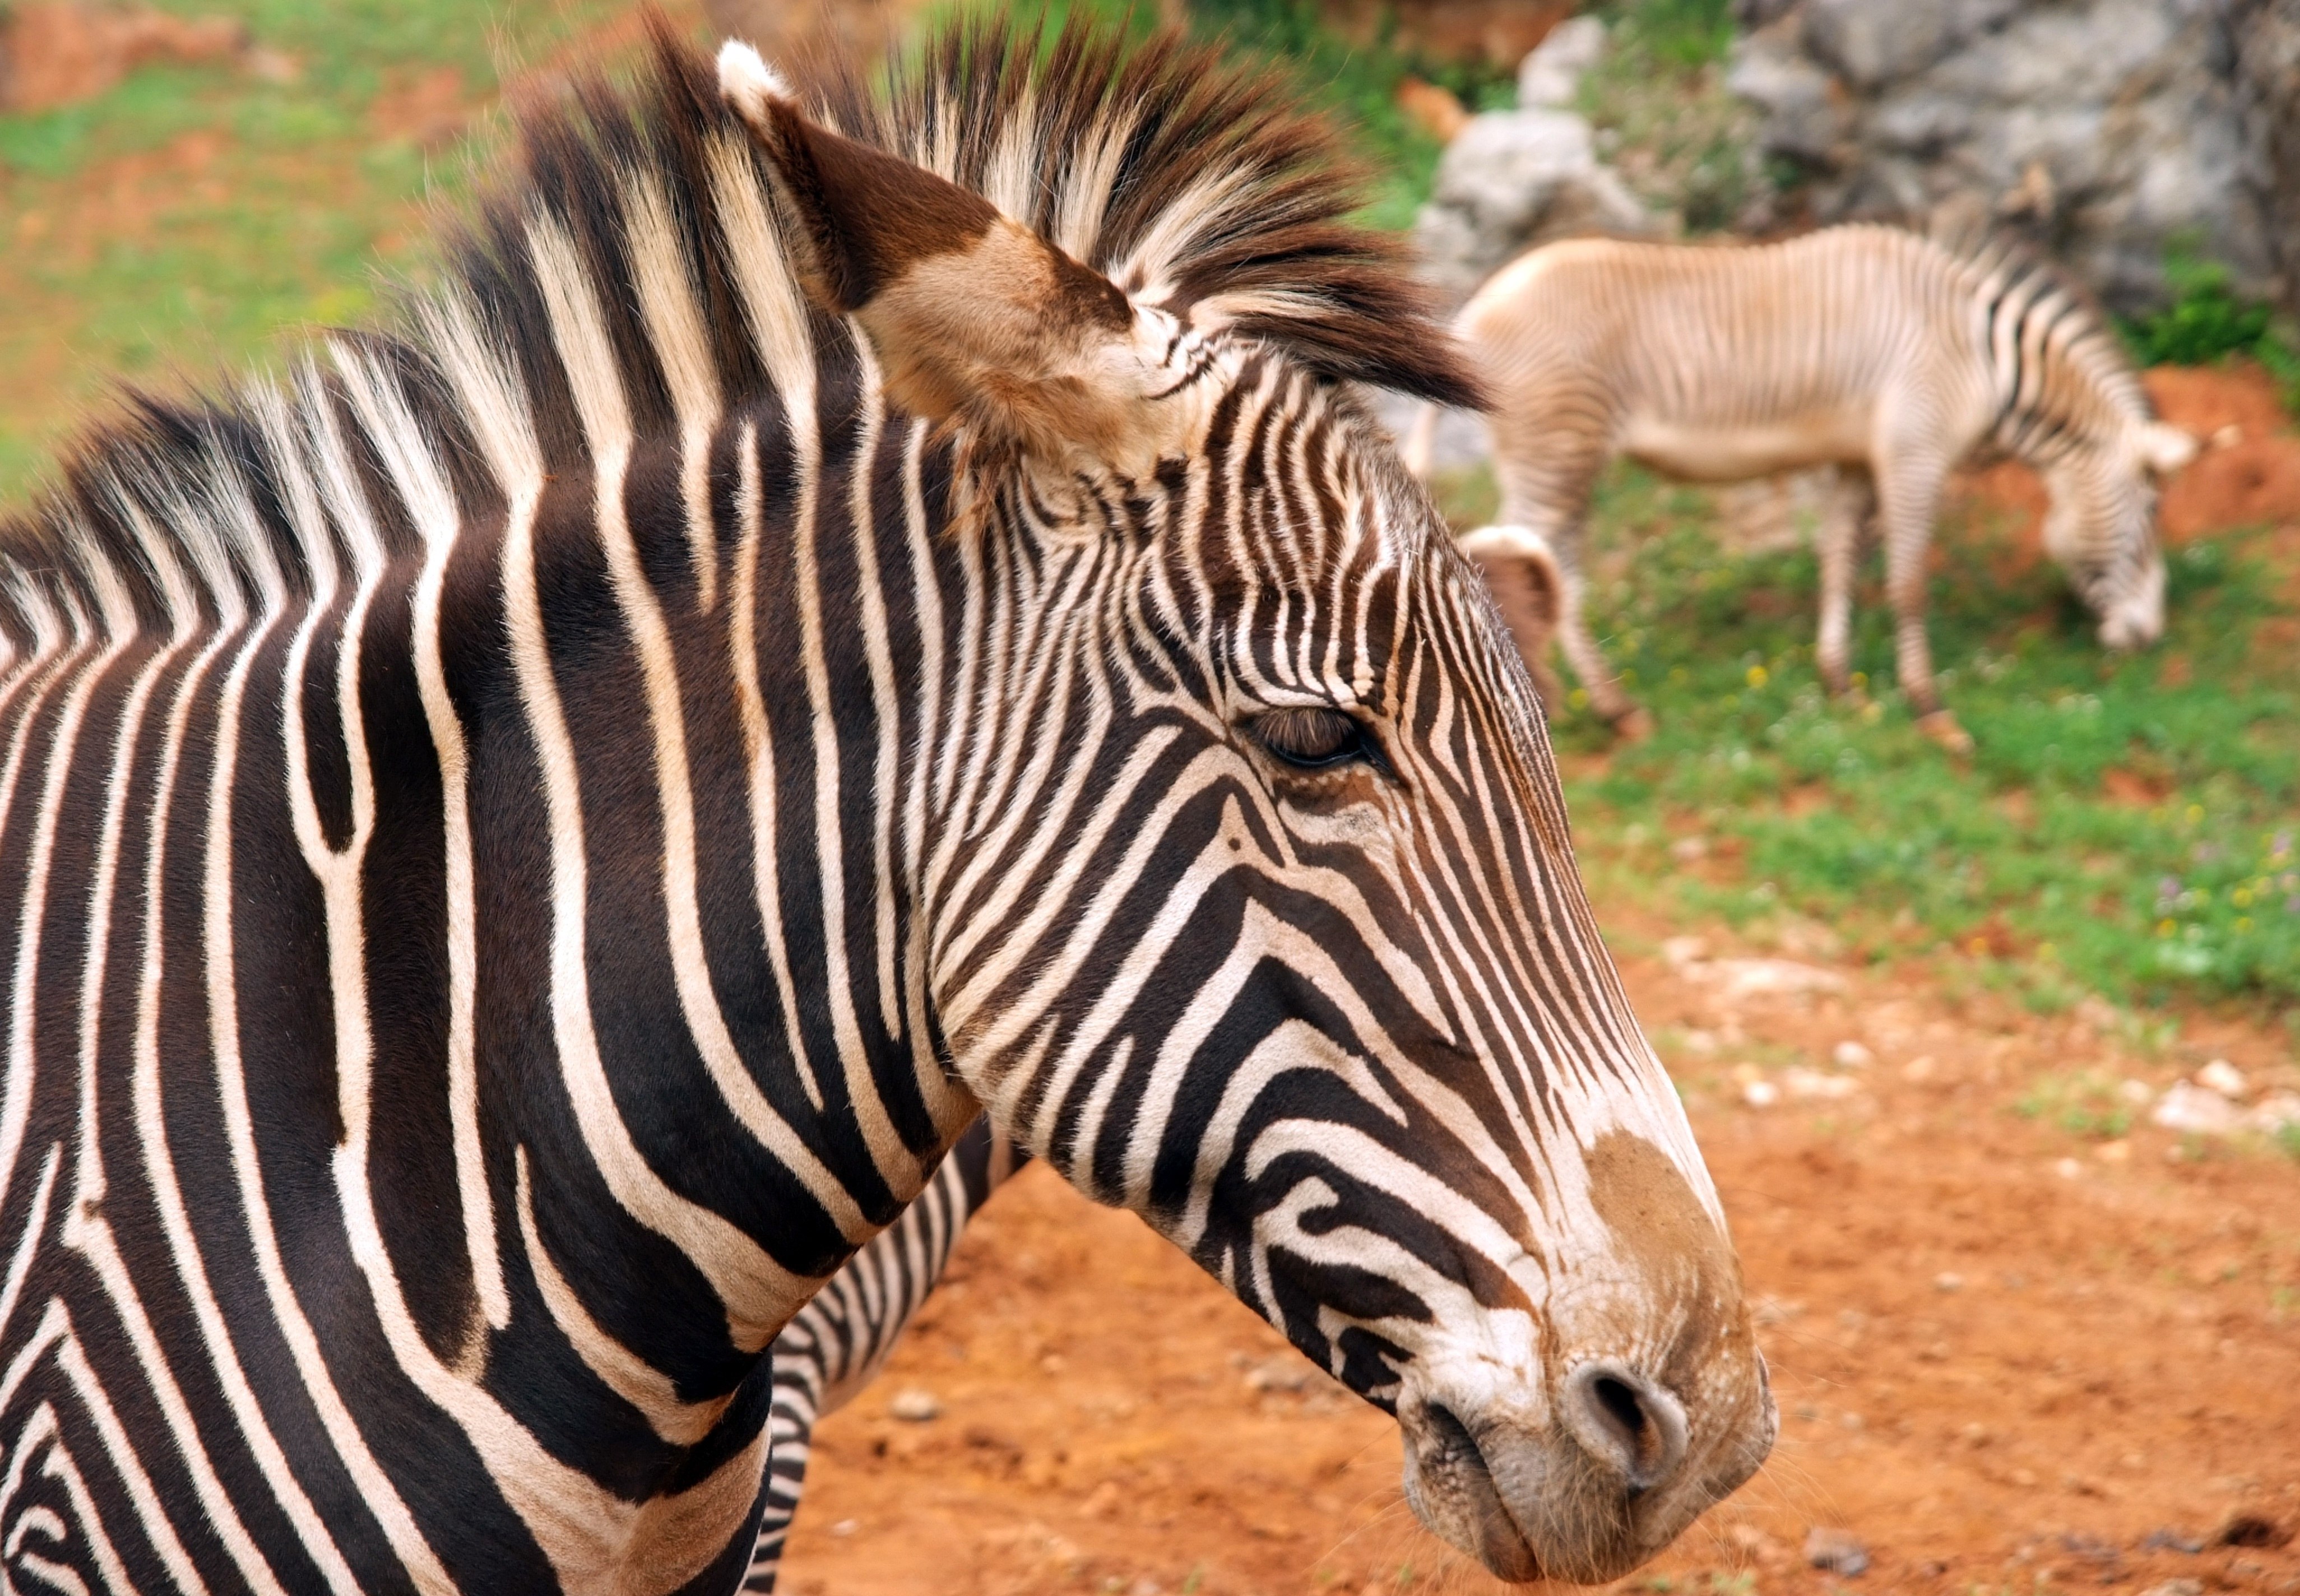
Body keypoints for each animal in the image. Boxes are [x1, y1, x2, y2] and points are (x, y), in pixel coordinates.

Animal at [1407, 222, 2199, 754]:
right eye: (2153, 511)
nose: (2148, 637)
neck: (1982, 354)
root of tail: (1477, 306)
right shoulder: (1915, 452)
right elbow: (1907, 582)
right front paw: (1930, 708)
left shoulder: (1857, 459)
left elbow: (1840, 563)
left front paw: (1839, 680)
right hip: (1559, 452)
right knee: (1528, 563)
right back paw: (1579, 707)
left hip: (1565, 456)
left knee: (1551, 567)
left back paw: (1607, 707)